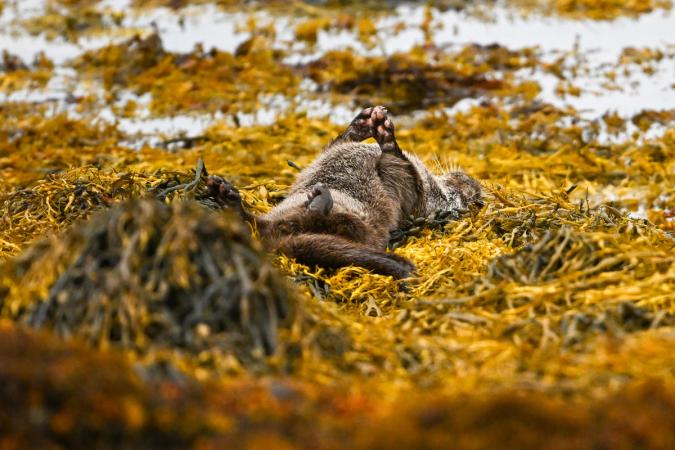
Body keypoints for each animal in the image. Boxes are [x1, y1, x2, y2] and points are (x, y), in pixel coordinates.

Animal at [209, 107, 484, 280]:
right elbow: (336, 145)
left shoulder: (416, 199)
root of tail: (284, 242)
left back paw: (319, 202)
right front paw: (363, 123)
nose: (472, 181)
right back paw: (229, 199)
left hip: (360, 225)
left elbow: (399, 167)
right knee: (259, 226)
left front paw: (387, 138)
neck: (433, 189)